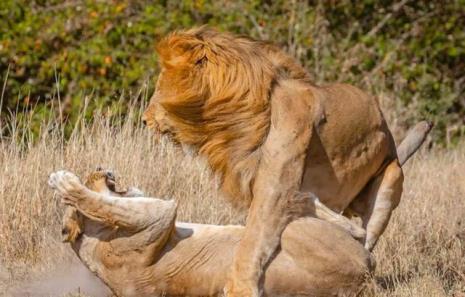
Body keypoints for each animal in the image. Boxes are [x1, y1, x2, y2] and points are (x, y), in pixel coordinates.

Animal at [49, 169, 372, 296]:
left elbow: (111, 201)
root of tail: (363, 273)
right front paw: (62, 182)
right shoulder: (160, 213)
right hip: (292, 230)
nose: (101, 168)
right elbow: (101, 202)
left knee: (354, 227)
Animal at [142, 26, 432, 294]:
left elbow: (252, 242)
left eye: (159, 85)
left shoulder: (274, 189)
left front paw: (240, 288)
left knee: (367, 242)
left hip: (391, 180)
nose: (144, 120)